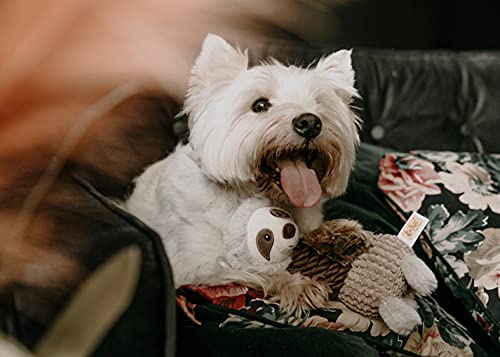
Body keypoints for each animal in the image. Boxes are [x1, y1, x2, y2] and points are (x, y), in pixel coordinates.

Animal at [123, 33, 362, 312]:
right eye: (260, 105)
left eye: (319, 104)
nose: (310, 122)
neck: (251, 194)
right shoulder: (195, 268)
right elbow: (252, 270)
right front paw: (297, 285)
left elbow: (309, 230)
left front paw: (335, 235)